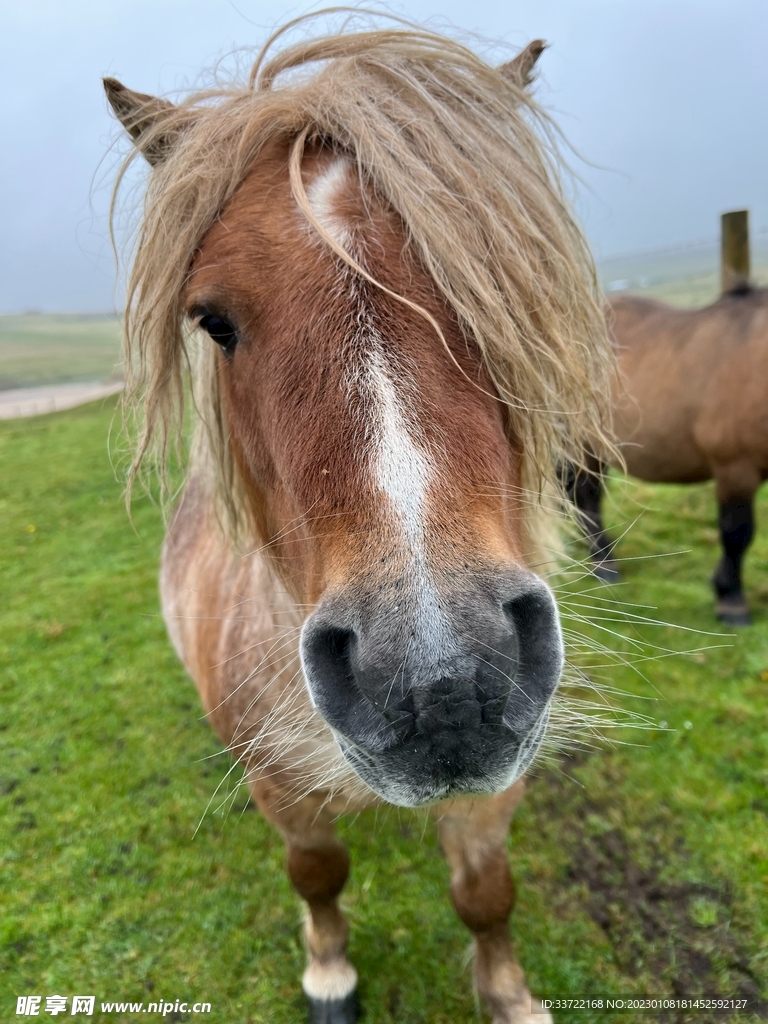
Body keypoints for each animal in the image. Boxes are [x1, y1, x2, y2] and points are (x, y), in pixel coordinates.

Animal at [105, 17, 615, 1023]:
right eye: (212, 319)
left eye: (493, 280)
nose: (440, 683)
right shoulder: (285, 792)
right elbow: (318, 875)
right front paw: (331, 971)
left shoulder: (494, 790)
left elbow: (486, 895)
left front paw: (508, 993)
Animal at [567, 288, 768, 625]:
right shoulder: (735, 469)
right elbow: (736, 534)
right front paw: (730, 600)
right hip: (580, 444)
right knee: (585, 498)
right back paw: (604, 564)